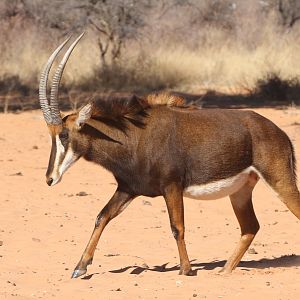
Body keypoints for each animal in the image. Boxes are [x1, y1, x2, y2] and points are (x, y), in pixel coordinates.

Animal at [39, 33, 300, 278]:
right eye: (50, 134)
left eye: (64, 135)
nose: (50, 178)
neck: (134, 137)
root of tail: (280, 133)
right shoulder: (128, 189)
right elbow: (101, 216)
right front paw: (79, 267)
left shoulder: (172, 186)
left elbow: (177, 226)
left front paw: (186, 269)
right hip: (240, 191)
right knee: (250, 227)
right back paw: (224, 270)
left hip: (279, 180)